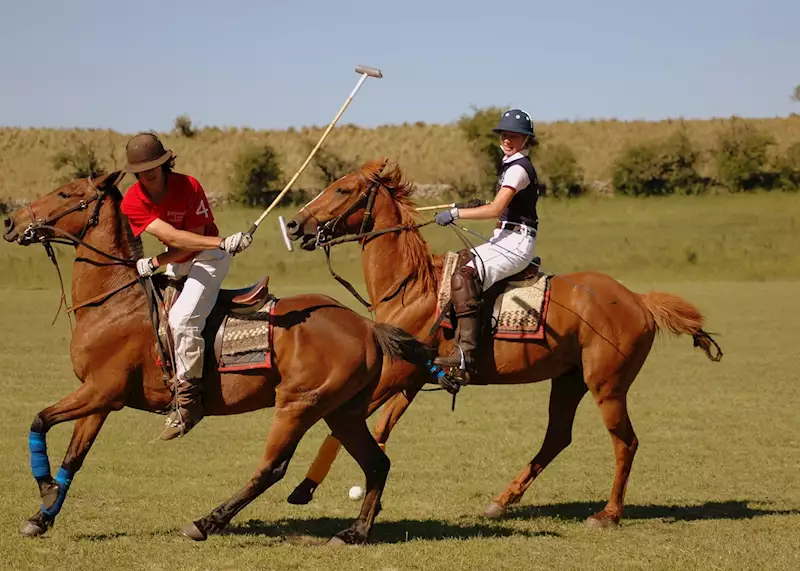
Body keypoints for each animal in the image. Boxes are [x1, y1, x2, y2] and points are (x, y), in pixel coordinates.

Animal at [3, 173, 434, 544]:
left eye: (64, 193)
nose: (10, 221)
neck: (112, 301)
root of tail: (367, 325)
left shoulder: (101, 392)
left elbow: (39, 420)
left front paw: (45, 488)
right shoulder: (100, 397)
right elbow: (74, 456)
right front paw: (42, 516)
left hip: (299, 403)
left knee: (272, 468)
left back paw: (206, 522)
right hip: (342, 410)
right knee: (377, 462)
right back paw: (356, 532)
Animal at [284, 159, 720, 528]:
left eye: (342, 189)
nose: (293, 224)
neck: (408, 287)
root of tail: (639, 300)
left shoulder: (396, 374)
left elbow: (349, 424)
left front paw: (309, 488)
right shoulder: (409, 380)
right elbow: (373, 429)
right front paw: (324, 490)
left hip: (607, 385)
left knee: (625, 441)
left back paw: (608, 514)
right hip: (569, 379)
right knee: (557, 437)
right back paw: (501, 501)